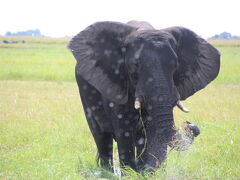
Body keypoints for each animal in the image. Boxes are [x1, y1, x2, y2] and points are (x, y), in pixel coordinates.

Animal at [68, 20, 221, 172]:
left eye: (175, 65)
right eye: (135, 65)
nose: (190, 125)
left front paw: (146, 171)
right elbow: (124, 130)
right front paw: (131, 171)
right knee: (101, 135)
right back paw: (108, 172)